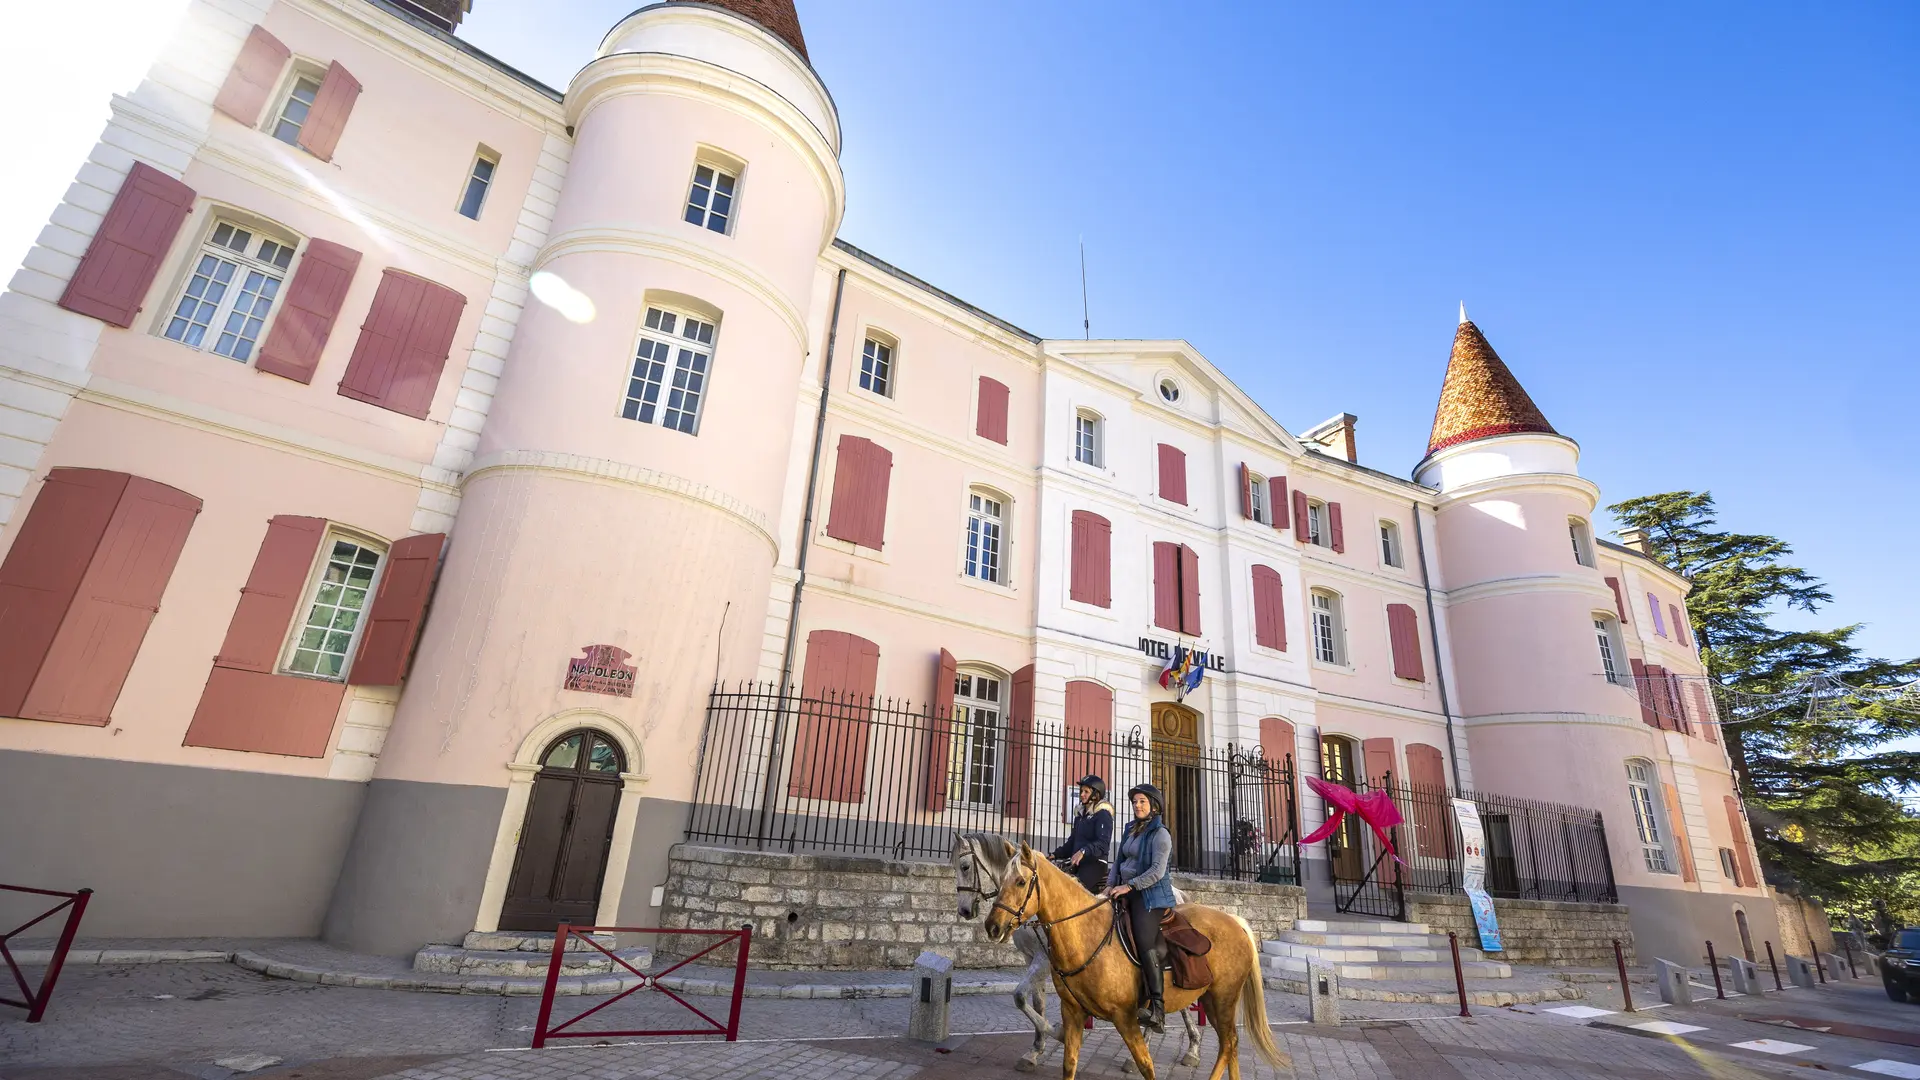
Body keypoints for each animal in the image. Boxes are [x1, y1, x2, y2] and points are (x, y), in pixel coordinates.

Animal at [948, 826, 1198, 1060]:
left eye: (965, 867)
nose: (964, 910)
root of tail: (1178, 893)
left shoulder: (1043, 959)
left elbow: (1019, 996)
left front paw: (1057, 1033)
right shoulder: (1032, 958)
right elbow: (1037, 1002)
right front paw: (1036, 1048)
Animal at [983, 841, 1282, 1076]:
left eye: (1021, 881)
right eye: (1001, 880)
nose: (992, 926)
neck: (1084, 930)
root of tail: (1234, 920)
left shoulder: (1124, 1017)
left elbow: (1146, 1064)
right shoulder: (1070, 1007)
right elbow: (1064, 1054)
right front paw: (1037, 1048)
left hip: (1223, 997)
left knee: (1227, 1041)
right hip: (1209, 996)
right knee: (1227, 1041)